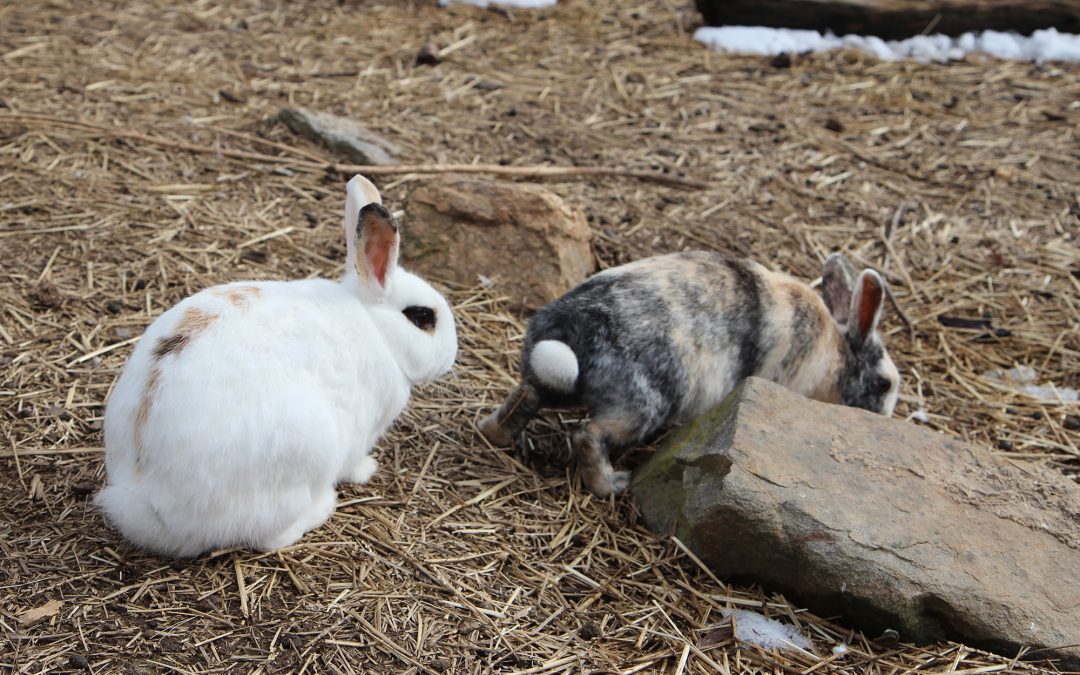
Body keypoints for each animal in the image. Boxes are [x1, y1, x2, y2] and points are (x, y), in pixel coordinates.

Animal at [93, 176, 460, 557]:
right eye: (422, 317)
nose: (451, 356)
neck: (376, 326)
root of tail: (148, 500)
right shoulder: (363, 431)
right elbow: (354, 462)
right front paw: (367, 469)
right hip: (307, 456)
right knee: (269, 537)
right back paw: (321, 508)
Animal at [481, 250, 902, 496]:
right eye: (884, 383)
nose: (886, 416)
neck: (838, 357)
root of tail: (570, 333)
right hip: (642, 407)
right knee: (589, 436)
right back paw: (614, 485)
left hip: (547, 381)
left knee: (526, 398)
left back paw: (493, 432)